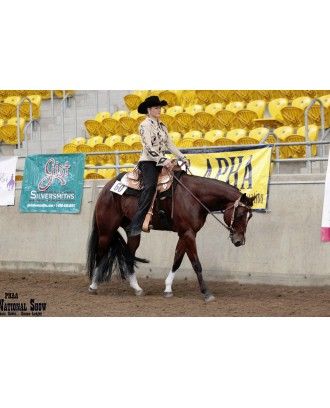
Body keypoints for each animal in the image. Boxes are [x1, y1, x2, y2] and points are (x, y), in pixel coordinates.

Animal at [85, 167, 255, 302]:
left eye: (250, 216)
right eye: (240, 214)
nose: (239, 241)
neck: (194, 196)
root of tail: (106, 188)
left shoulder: (185, 234)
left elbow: (177, 260)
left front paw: (167, 289)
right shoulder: (188, 233)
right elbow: (196, 264)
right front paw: (206, 293)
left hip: (133, 233)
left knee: (129, 257)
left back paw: (137, 289)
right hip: (106, 231)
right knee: (100, 254)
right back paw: (93, 286)